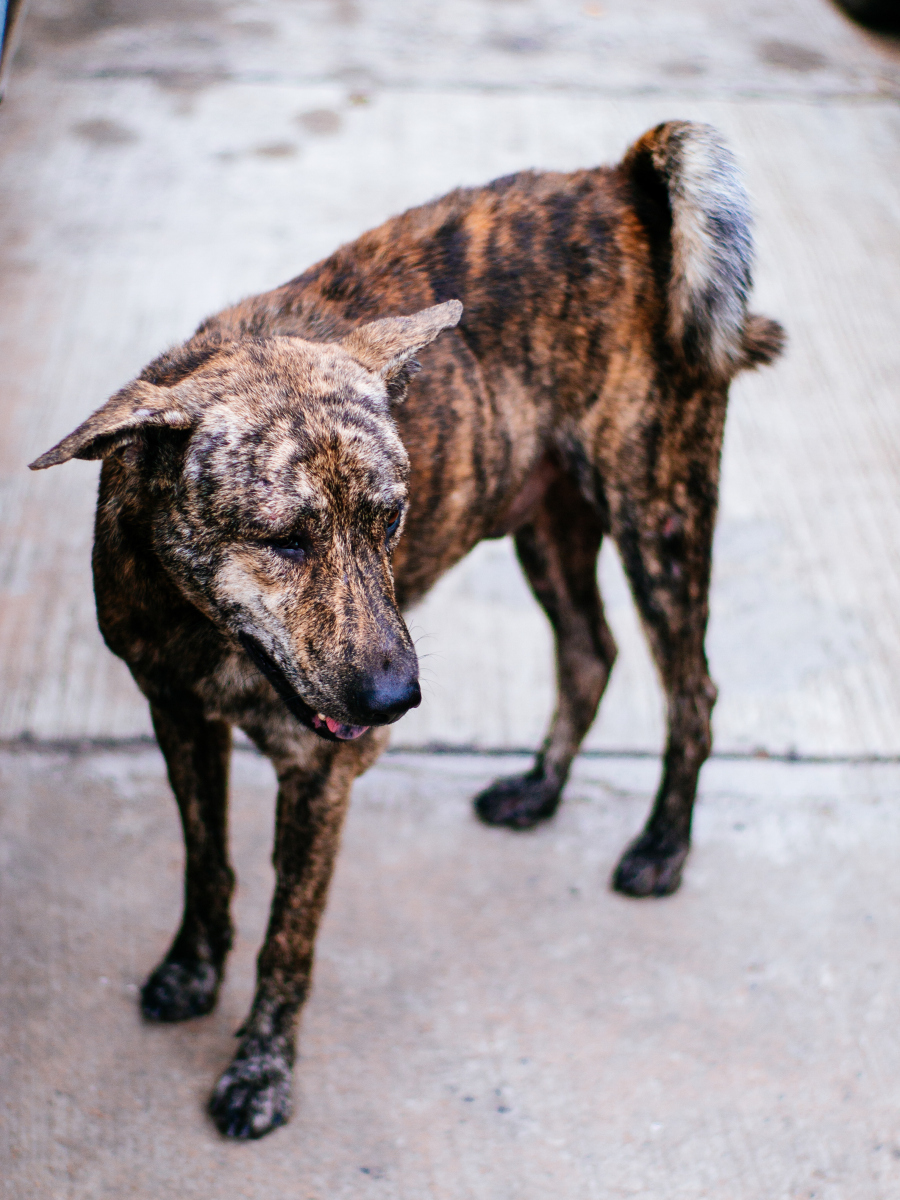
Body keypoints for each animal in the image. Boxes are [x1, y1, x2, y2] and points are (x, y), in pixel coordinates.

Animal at [31, 124, 787, 1142]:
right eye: (284, 539)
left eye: (390, 520)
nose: (399, 702)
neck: (205, 631)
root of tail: (618, 182)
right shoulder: (175, 715)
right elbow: (205, 863)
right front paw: (192, 969)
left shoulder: (320, 774)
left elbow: (288, 937)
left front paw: (261, 1071)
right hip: (548, 527)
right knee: (589, 654)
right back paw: (540, 789)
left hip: (658, 516)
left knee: (691, 691)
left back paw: (662, 849)